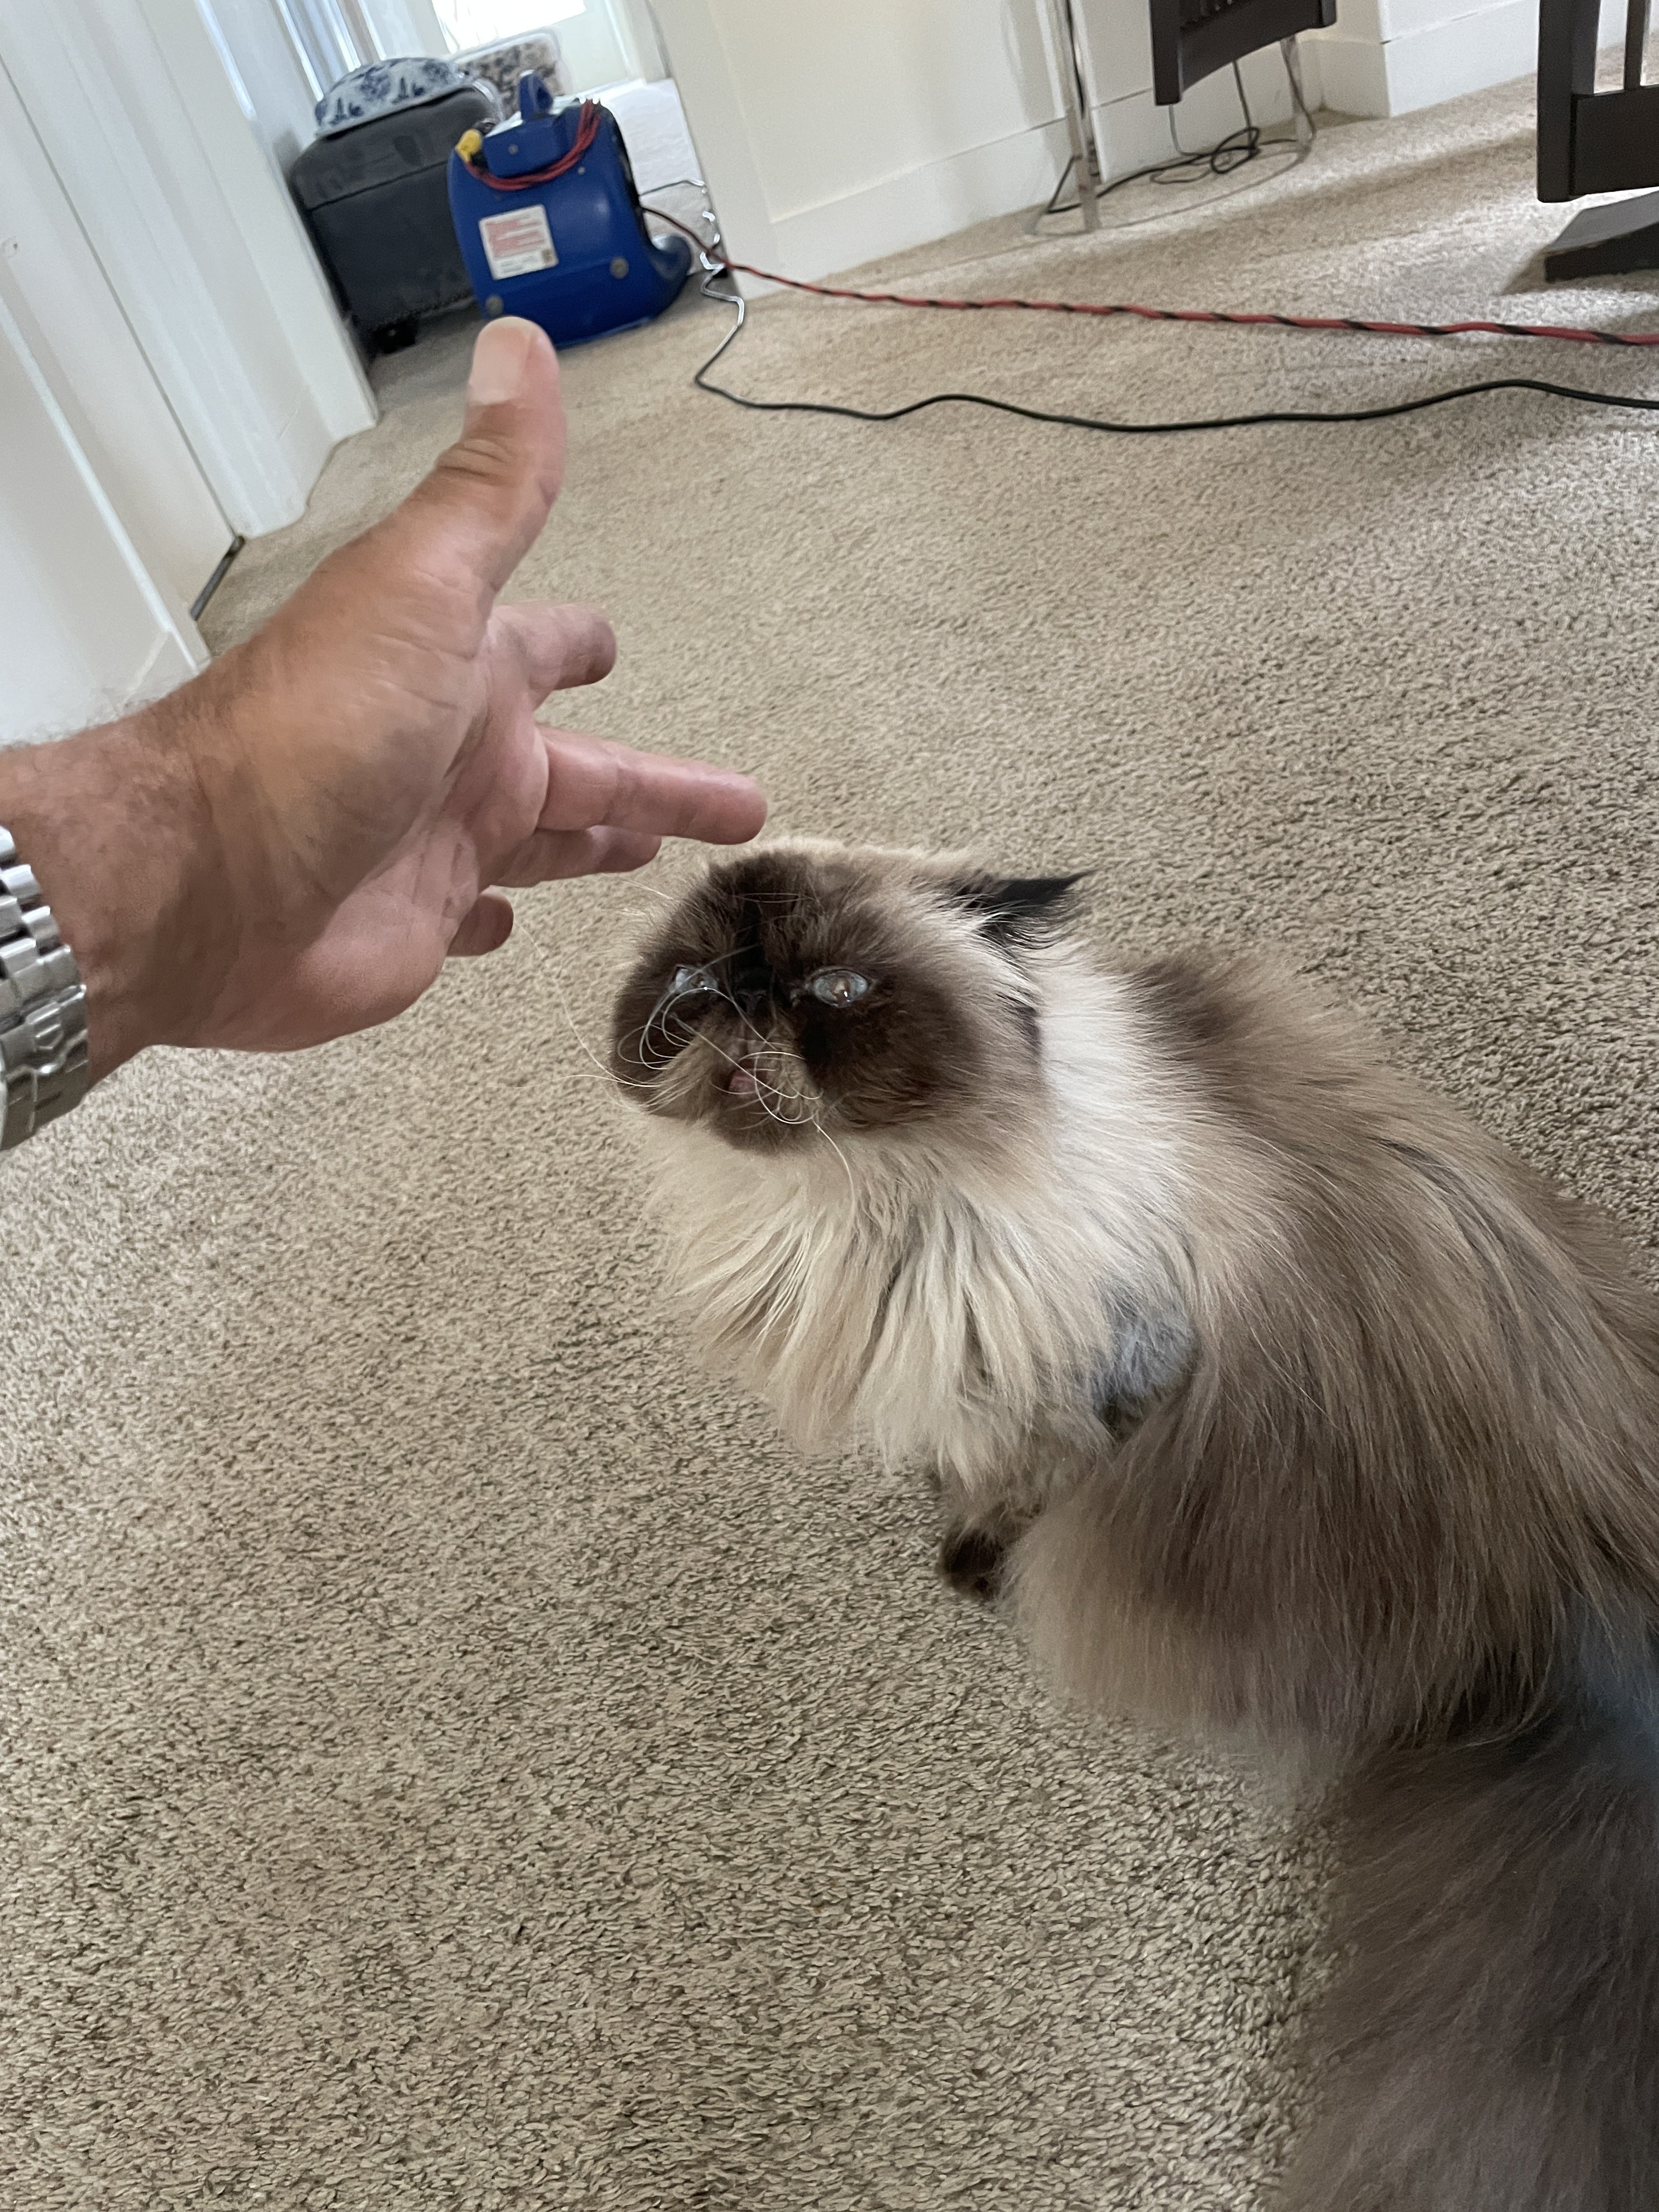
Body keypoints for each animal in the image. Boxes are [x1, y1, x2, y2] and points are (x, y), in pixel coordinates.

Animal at [609, 836, 1659, 2212]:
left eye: (834, 989)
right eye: (689, 985)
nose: (738, 1006)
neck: (856, 1210)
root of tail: (1589, 1582)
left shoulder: (1098, 1381)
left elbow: (1009, 1487)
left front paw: (966, 1553)